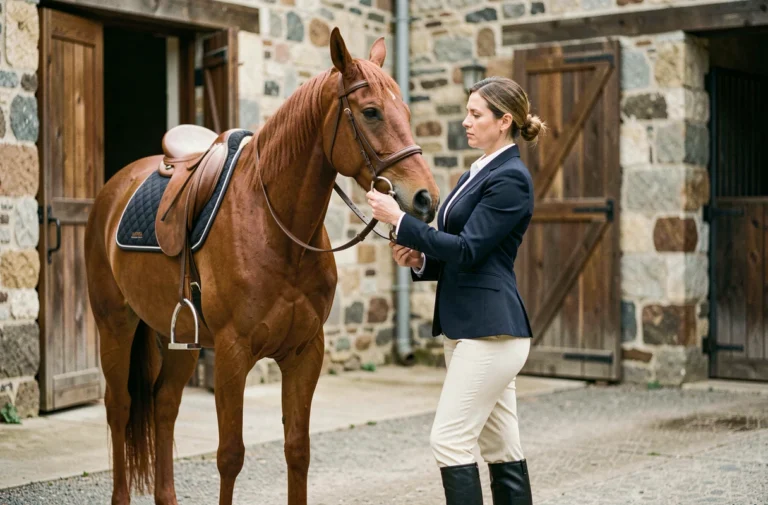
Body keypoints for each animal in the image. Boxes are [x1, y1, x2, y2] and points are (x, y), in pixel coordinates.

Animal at [84, 28, 439, 505]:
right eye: (371, 112)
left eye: (406, 110)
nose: (425, 198)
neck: (277, 230)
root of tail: (114, 189)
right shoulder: (233, 354)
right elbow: (230, 455)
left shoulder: (305, 351)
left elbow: (298, 450)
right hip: (115, 324)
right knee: (119, 406)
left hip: (177, 338)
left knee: (164, 406)